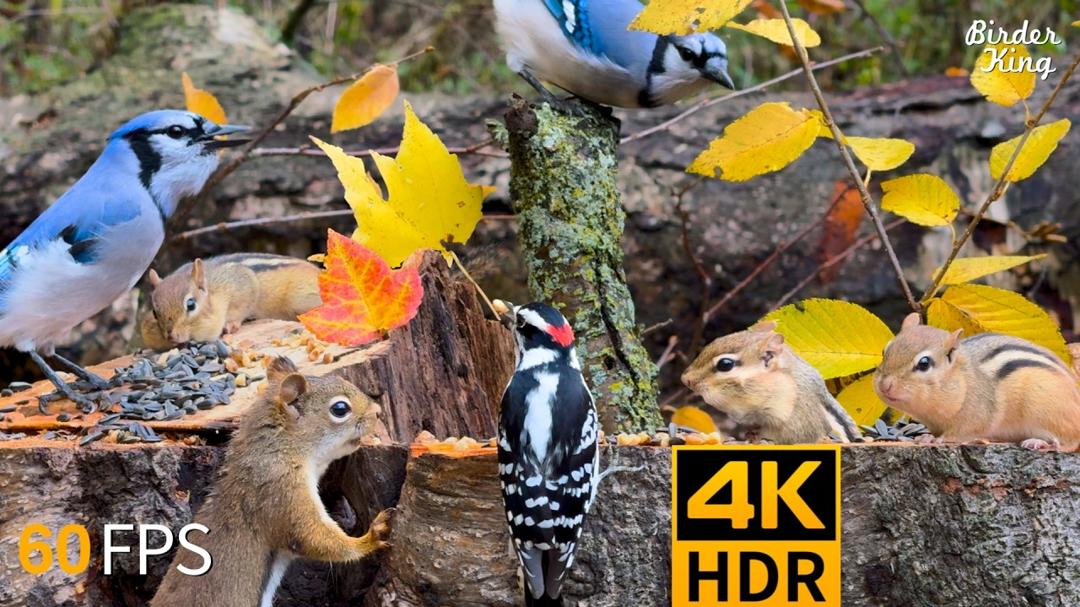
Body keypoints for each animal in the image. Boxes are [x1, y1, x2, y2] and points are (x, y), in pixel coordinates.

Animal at [151, 356, 392, 607]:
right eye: (340, 409)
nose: (377, 412)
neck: (280, 450)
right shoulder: (279, 491)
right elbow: (314, 537)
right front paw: (372, 537)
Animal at [875, 313, 1080, 450]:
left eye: (924, 363)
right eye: (885, 351)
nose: (885, 386)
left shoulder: (977, 415)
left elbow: (959, 432)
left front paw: (936, 440)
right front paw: (925, 437)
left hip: (1047, 410)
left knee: (1070, 442)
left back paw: (1041, 443)